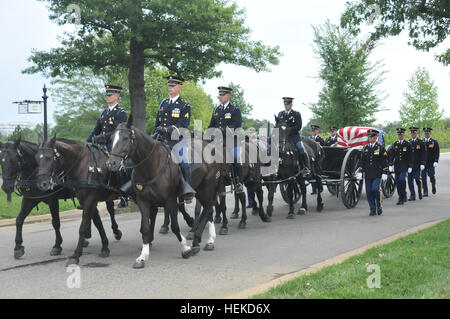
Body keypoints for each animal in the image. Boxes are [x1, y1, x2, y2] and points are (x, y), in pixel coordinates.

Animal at [35, 136, 123, 266]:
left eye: (48, 157)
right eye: (36, 158)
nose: (42, 184)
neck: (83, 165)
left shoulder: (90, 199)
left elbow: (83, 226)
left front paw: (76, 255)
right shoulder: (85, 200)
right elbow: (98, 223)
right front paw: (105, 247)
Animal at [105, 119, 218, 268]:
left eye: (125, 138)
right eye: (112, 138)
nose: (111, 163)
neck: (150, 165)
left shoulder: (170, 199)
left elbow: (175, 226)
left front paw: (185, 248)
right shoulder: (144, 201)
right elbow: (145, 228)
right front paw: (142, 257)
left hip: (207, 186)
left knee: (208, 208)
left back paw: (198, 240)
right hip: (199, 189)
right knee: (208, 209)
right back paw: (204, 240)